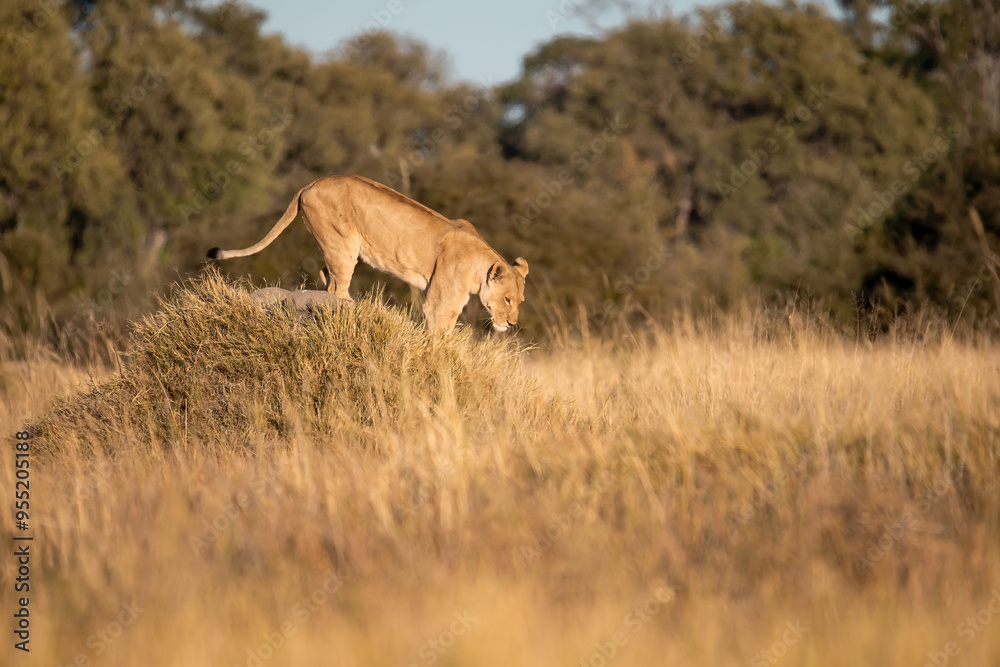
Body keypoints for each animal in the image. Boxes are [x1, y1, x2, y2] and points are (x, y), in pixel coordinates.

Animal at [207, 175, 528, 332]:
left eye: (519, 301)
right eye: (507, 299)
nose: (512, 324)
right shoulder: (442, 303)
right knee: (336, 288)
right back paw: (355, 307)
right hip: (343, 244)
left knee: (326, 276)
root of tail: (309, 184)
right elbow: (441, 334)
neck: (479, 264)